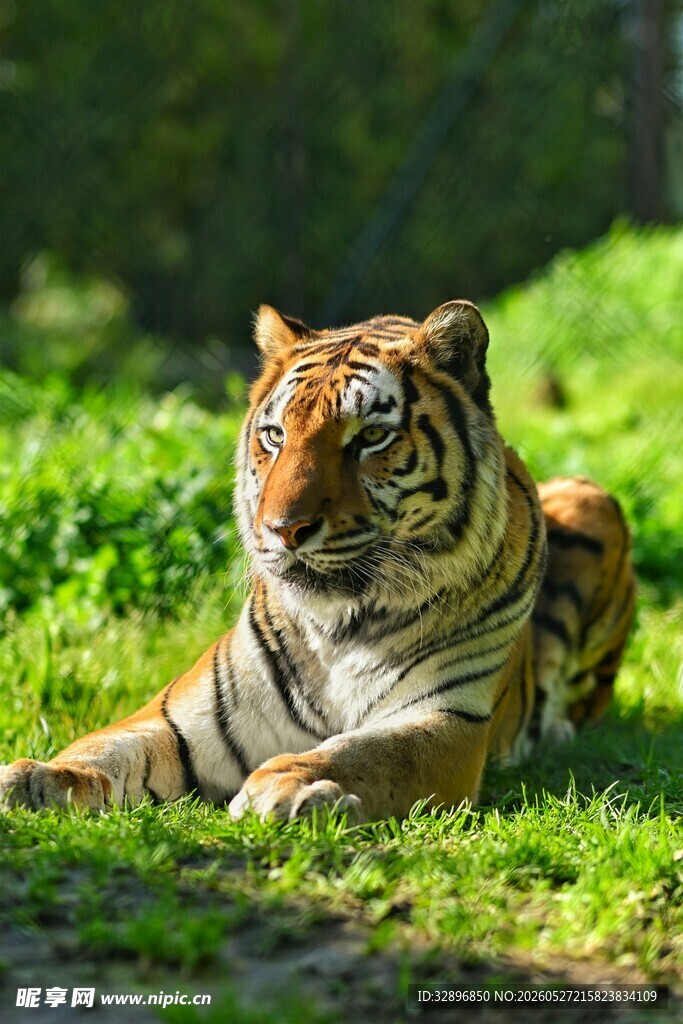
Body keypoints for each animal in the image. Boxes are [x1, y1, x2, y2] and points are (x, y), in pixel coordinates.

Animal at [0, 301, 636, 822]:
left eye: (371, 437)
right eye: (275, 435)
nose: (283, 529)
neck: (339, 624)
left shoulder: (447, 719)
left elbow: (364, 751)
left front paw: (291, 785)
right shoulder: (186, 716)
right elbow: (108, 746)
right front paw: (36, 779)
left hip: (590, 500)